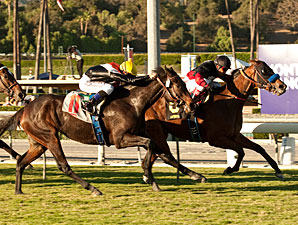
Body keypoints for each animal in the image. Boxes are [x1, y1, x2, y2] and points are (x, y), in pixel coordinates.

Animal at [0, 65, 193, 195]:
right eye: (178, 84)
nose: (191, 104)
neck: (132, 102)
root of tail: (24, 108)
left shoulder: (138, 133)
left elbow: (162, 152)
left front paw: (190, 175)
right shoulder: (120, 139)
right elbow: (151, 144)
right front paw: (147, 175)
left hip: (38, 143)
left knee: (21, 161)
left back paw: (18, 190)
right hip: (50, 137)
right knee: (63, 166)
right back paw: (93, 188)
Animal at [143, 59, 288, 190]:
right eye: (264, 71)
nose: (282, 86)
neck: (228, 102)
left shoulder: (235, 135)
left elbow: (258, 148)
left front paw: (278, 171)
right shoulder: (216, 139)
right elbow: (240, 151)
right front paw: (229, 169)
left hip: (160, 133)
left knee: (155, 153)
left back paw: (147, 175)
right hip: (156, 130)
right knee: (164, 154)